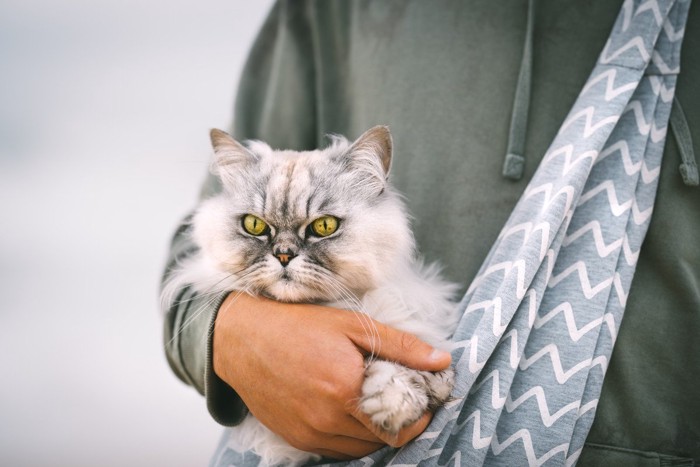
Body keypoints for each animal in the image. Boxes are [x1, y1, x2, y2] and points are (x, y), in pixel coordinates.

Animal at [163, 126, 460, 466]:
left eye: (324, 226)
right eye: (254, 225)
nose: (283, 255)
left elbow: (406, 372)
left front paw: (391, 404)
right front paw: (391, 405)